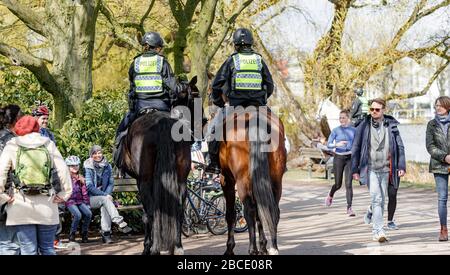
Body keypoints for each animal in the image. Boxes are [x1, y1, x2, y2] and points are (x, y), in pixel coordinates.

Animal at [118, 76, 200, 256]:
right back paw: (177, 246)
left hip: (145, 180)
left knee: (150, 212)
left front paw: (147, 246)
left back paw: (153, 248)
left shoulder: (141, 181)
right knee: (178, 209)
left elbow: (146, 213)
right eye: (196, 97)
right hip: (181, 179)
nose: (203, 121)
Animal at [219, 104, 286, 256]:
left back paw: (252, 249)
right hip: (275, 181)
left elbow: (231, 214)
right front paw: (263, 246)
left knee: (249, 211)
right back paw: (273, 247)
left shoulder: (227, 181)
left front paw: (229, 248)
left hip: (242, 181)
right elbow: (260, 214)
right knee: (272, 210)